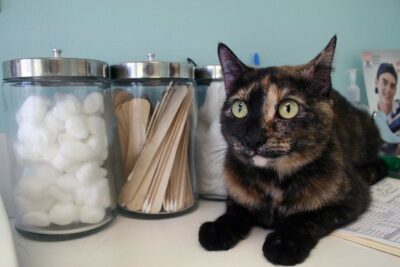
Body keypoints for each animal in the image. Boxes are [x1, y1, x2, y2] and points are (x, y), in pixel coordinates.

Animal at [199, 36, 388, 266]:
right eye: (239, 108)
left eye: (288, 108)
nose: (253, 139)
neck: (273, 182)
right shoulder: (235, 192)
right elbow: (236, 210)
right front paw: (218, 228)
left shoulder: (353, 198)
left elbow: (310, 217)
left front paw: (285, 242)